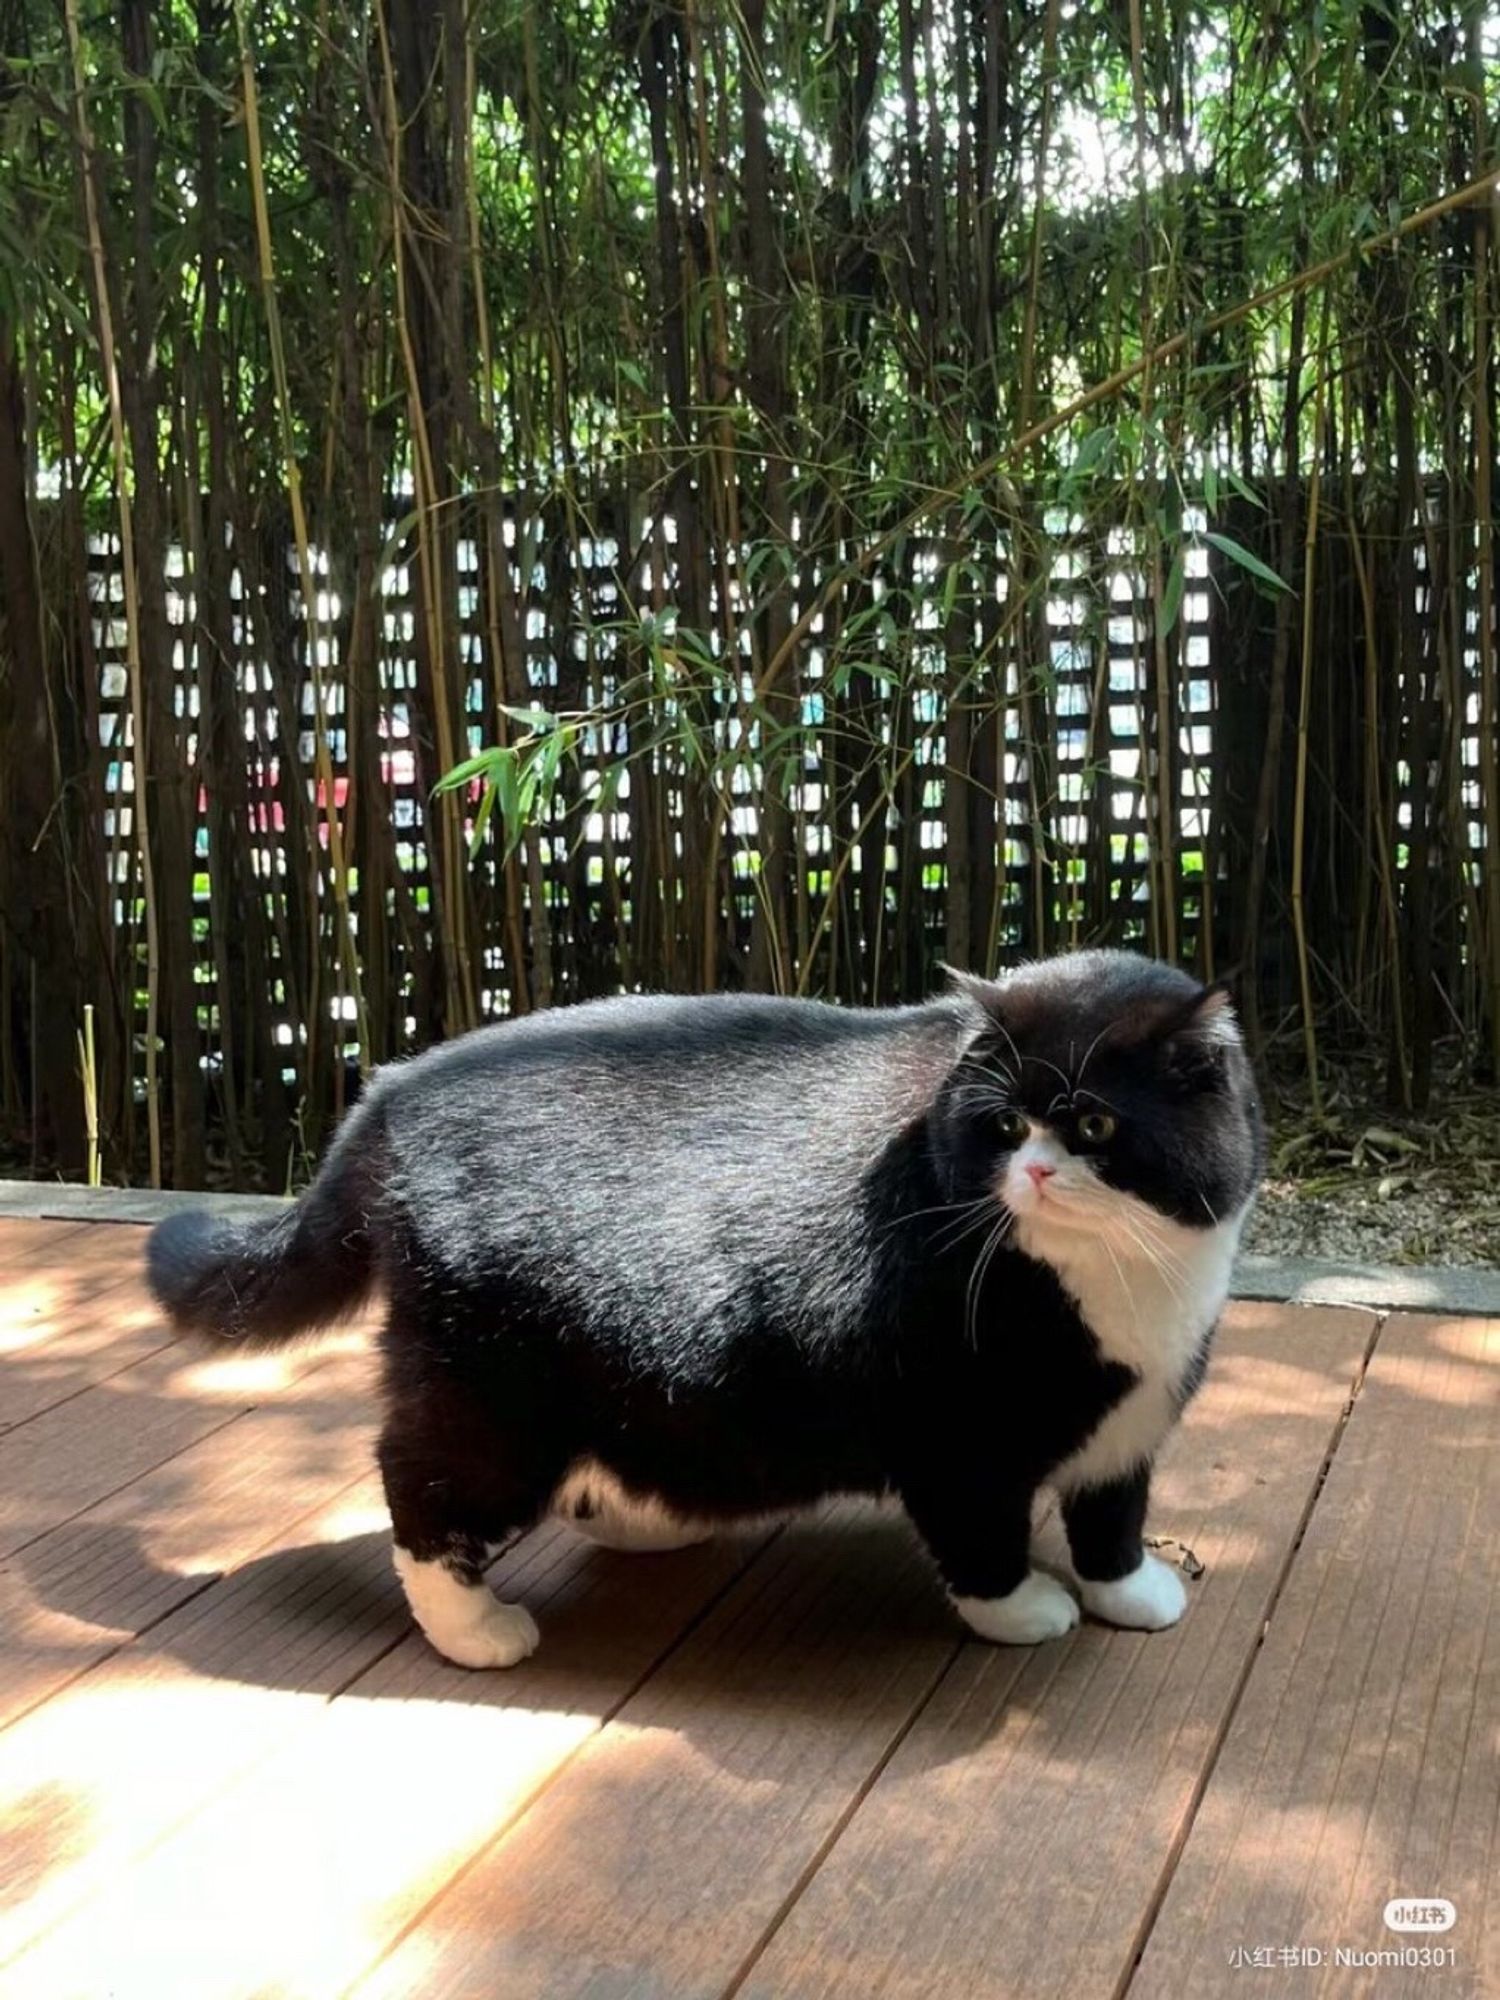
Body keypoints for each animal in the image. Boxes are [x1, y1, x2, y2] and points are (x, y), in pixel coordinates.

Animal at [147, 952, 1264, 1672]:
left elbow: (1112, 1511)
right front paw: (1024, 1608)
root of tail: (390, 1084)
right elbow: (978, 1528)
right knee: (420, 1483)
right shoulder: (950, 1424)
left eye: (1093, 1124)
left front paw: (1126, 1590)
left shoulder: (1130, 1423)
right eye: (1000, 1124)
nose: (1031, 1170)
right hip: (494, 1382)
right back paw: (474, 1628)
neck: (1126, 1284)